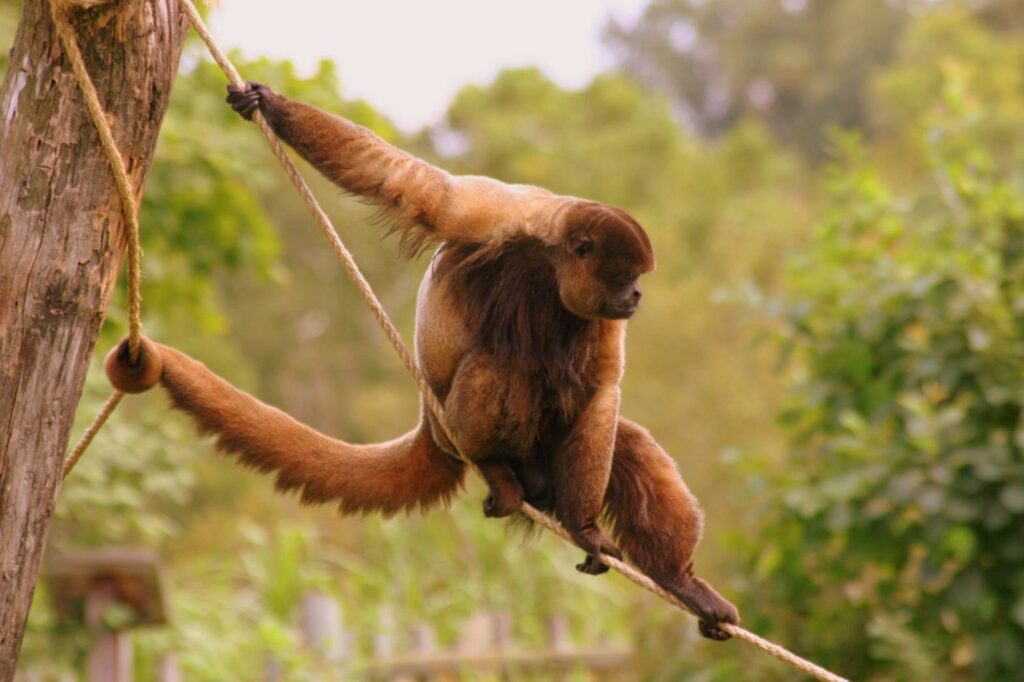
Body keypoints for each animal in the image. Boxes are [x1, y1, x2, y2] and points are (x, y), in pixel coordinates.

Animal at [104, 81, 739, 640]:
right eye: (627, 275)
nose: (638, 296)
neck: (553, 266)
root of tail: (431, 426)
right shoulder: (505, 212)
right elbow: (419, 188)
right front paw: (272, 105)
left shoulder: (600, 314)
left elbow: (604, 392)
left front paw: (586, 528)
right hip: (458, 421)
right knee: (500, 364)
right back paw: (498, 470)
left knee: (622, 438)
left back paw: (679, 579)